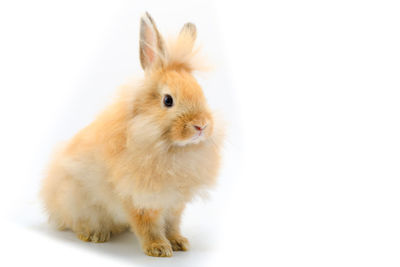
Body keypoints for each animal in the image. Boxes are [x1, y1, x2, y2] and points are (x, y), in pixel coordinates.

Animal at [40, 11, 225, 258]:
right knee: (77, 221)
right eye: (168, 100)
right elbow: (148, 225)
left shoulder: (174, 203)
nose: (201, 126)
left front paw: (179, 243)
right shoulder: (138, 199)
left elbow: (172, 224)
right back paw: (95, 234)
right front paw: (158, 249)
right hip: (75, 196)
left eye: (201, 93)